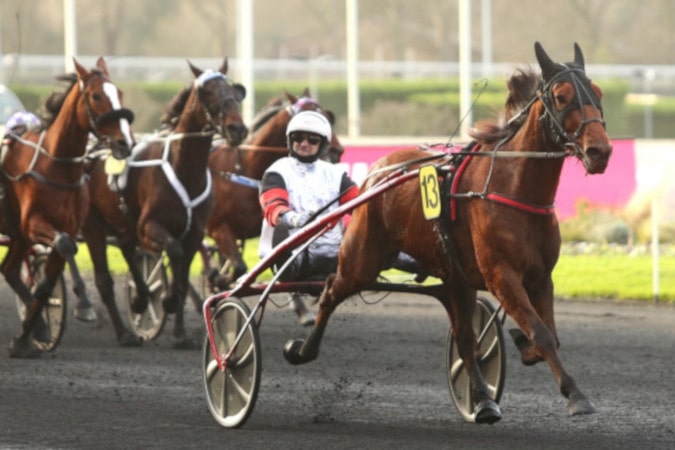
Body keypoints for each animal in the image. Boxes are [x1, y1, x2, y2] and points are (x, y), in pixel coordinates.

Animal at [0, 57, 135, 358]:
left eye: (119, 93)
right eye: (96, 96)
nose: (125, 143)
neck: (56, 165)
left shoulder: (67, 226)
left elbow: (46, 283)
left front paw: (26, 337)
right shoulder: (34, 224)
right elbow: (63, 245)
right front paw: (84, 305)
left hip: (18, 235)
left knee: (10, 269)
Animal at [81, 58, 247, 348]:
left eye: (234, 91)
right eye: (207, 92)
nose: (237, 129)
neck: (184, 170)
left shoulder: (194, 234)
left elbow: (182, 278)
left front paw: (180, 332)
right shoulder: (150, 228)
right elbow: (174, 252)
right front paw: (164, 299)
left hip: (123, 224)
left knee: (128, 251)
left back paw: (139, 299)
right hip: (94, 228)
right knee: (104, 280)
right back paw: (124, 331)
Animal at [204, 88, 342, 290]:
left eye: (327, 115)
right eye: (305, 114)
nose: (337, 151)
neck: (244, 169)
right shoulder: (218, 228)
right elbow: (239, 266)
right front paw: (218, 279)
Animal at [281, 42, 613, 421]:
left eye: (598, 93)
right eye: (561, 96)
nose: (600, 151)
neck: (513, 188)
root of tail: (378, 171)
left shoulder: (540, 277)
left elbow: (545, 336)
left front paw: (525, 349)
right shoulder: (502, 275)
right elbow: (541, 334)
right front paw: (575, 394)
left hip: (455, 278)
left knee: (465, 342)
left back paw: (483, 401)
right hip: (361, 261)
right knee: (331, 289)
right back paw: (301, 349)